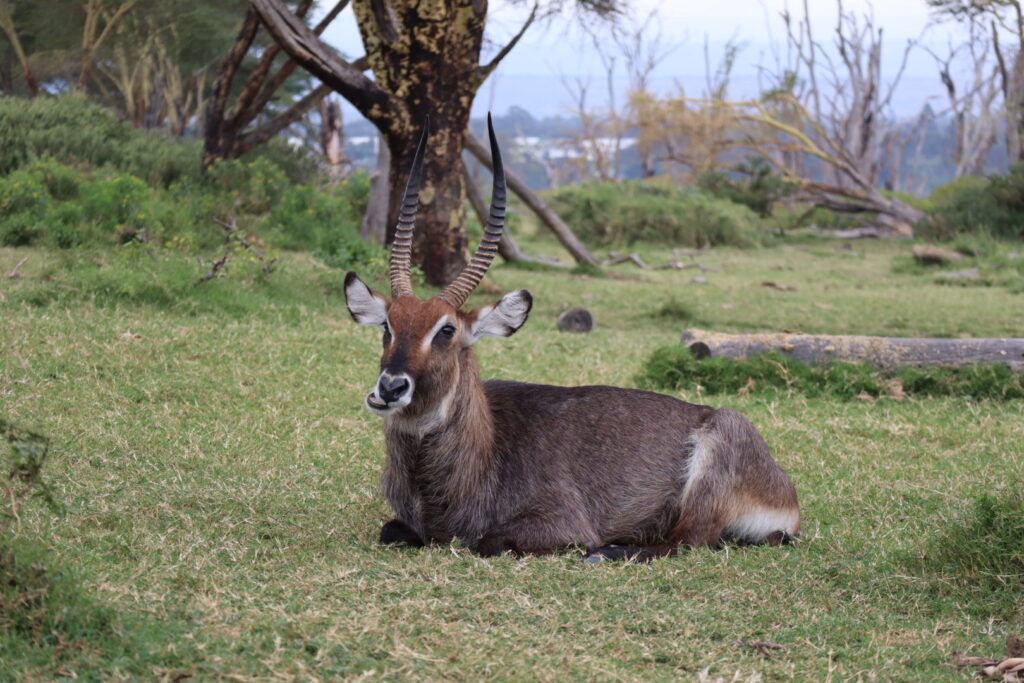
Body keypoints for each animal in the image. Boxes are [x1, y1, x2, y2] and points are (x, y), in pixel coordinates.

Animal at [344, 117, 798, 565]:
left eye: (446, 330)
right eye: (387, 325)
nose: (390, 388)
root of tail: (787, 496)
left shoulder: (561, 521)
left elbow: (487, 541)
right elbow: (391, 531)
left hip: (718, 451)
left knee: (685, 540)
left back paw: (607, 551)